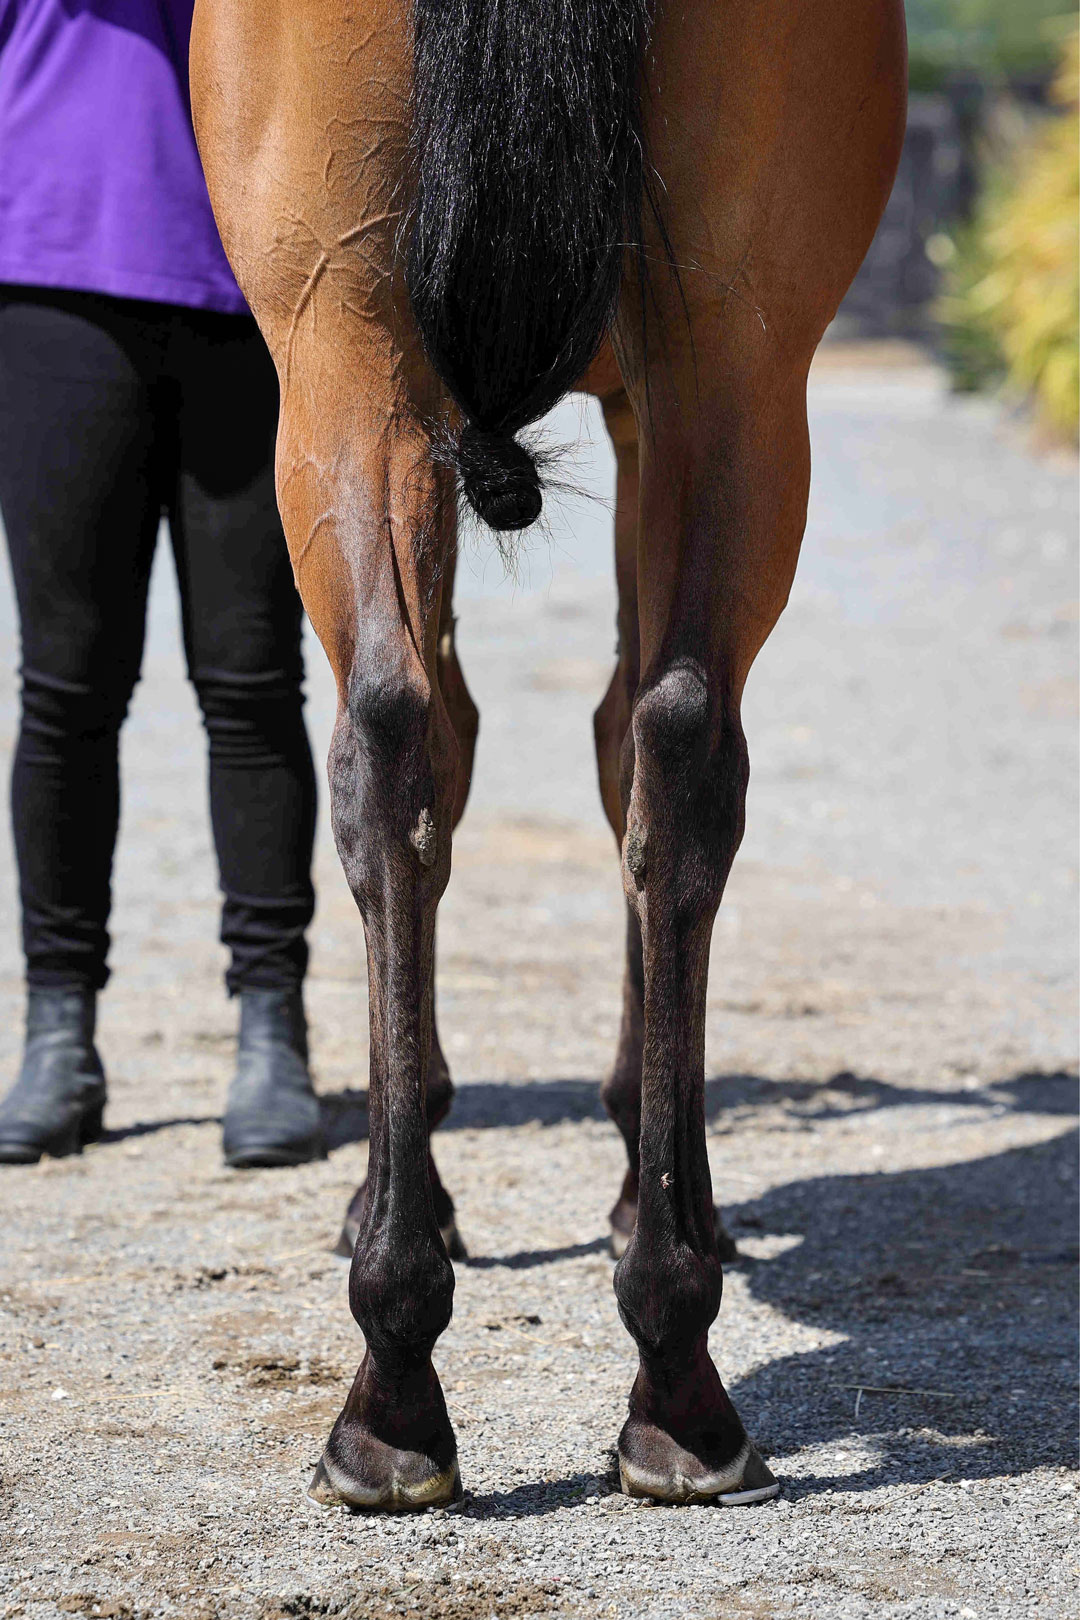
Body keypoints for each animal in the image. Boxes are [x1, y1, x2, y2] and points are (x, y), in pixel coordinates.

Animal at [189, 0, 906, 1510]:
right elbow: (598, 738)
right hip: (699, 360)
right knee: (640, 741)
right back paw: (652, 1371)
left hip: (359, 347)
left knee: (437, 735)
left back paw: (420, 1384)